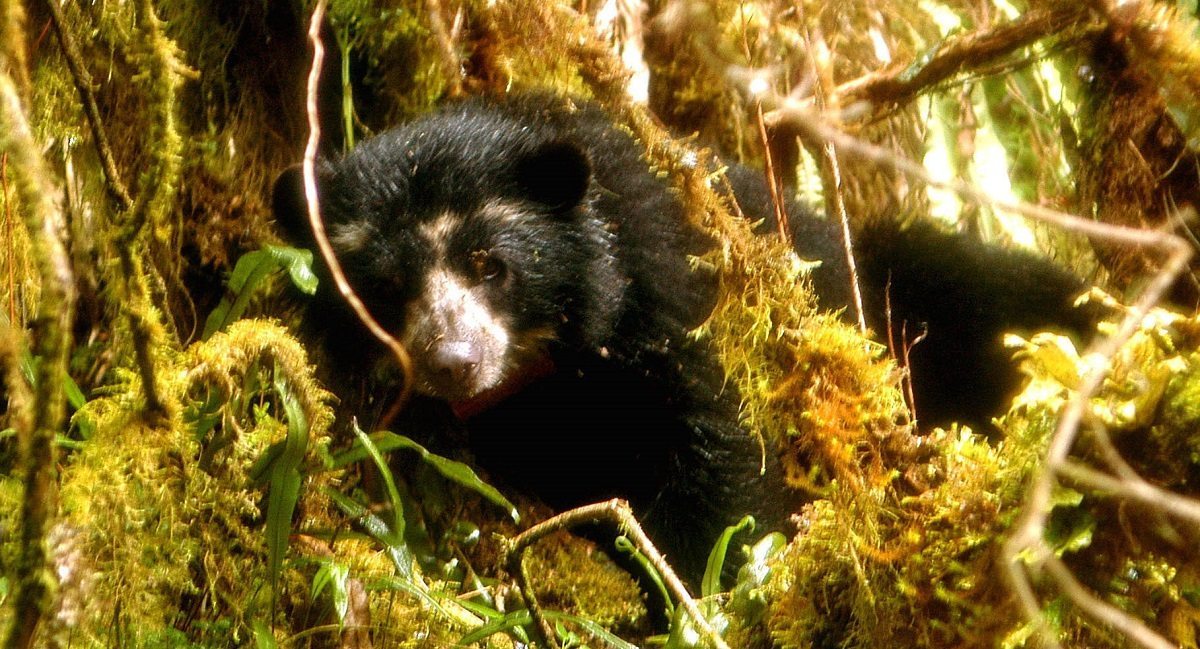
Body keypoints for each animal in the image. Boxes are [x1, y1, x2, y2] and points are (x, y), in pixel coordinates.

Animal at [271, 93, 1094, 584]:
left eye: (488, 265)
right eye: (384, 288)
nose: (453, 363)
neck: (550, 360)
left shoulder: (678, 298)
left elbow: (720, 455)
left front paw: (691, 583)